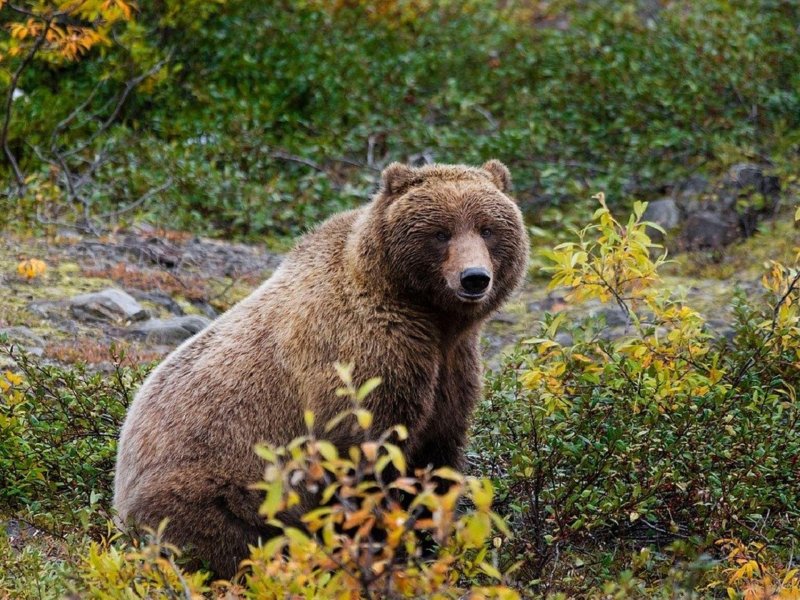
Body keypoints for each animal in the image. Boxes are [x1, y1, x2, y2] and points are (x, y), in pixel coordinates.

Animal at [109, 158, 528, 576]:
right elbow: (366, 459)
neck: (428, 317)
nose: (474, 278)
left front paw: (429, 543)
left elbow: (437, 459)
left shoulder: (451, 369)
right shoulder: (364, 359)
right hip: (217, 486)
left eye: (487, 228)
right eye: (440, 232)